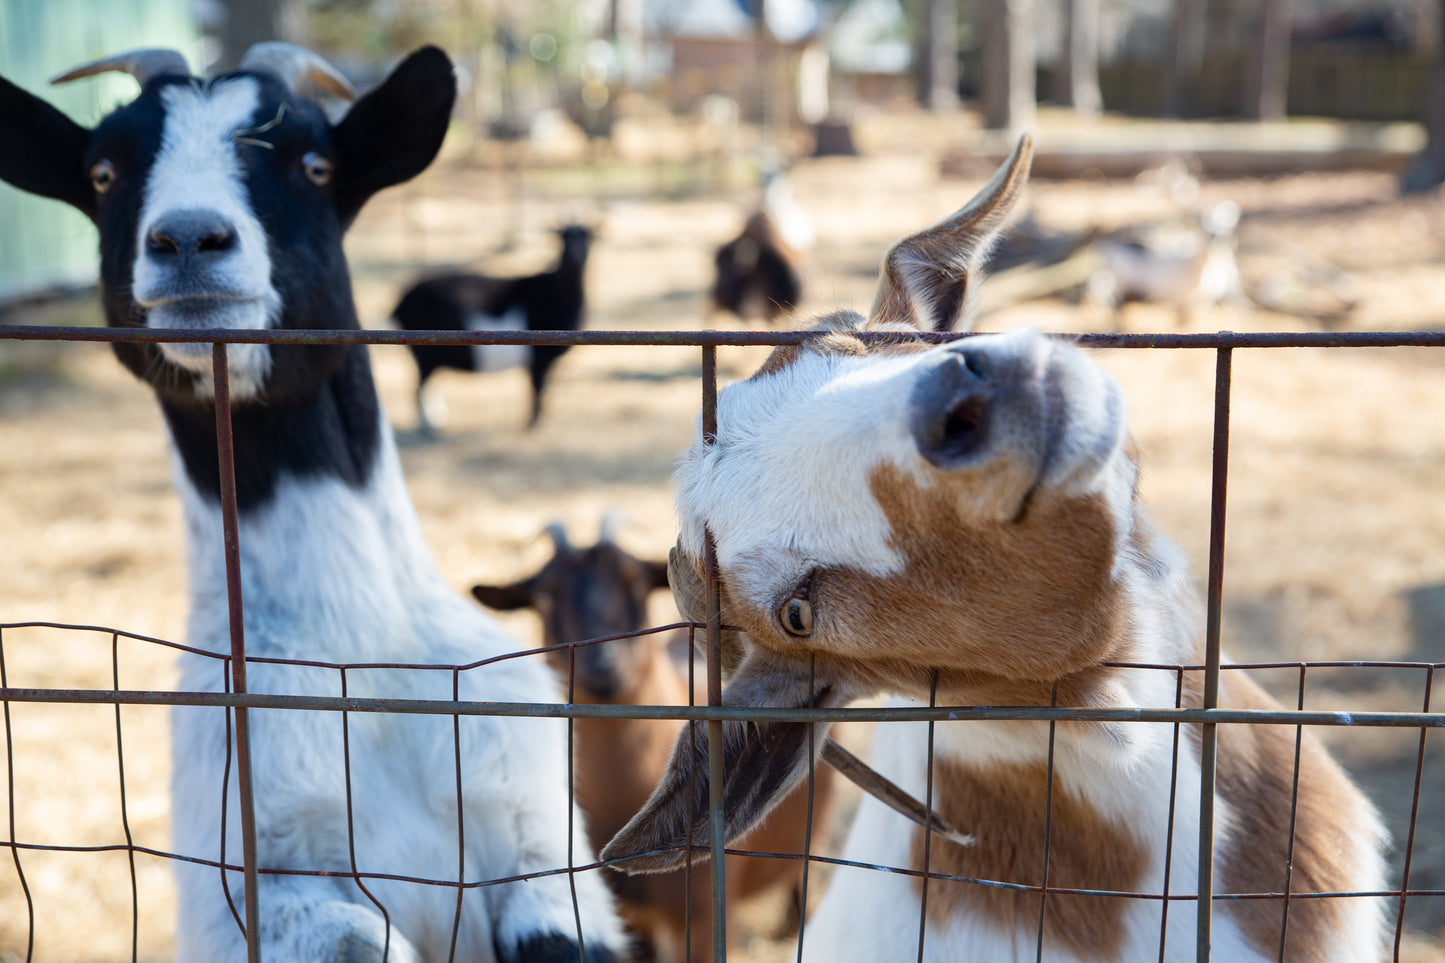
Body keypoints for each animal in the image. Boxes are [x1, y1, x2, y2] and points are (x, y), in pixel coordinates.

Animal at [392, 224, 592, 432]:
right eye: (562, 238)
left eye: (589, 237)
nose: (575, 256)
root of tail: (400, 303)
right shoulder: (540, 359)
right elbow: (537, 390)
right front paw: (531, 424)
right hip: (425, 353)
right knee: (419, 386)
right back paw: (430, 425)